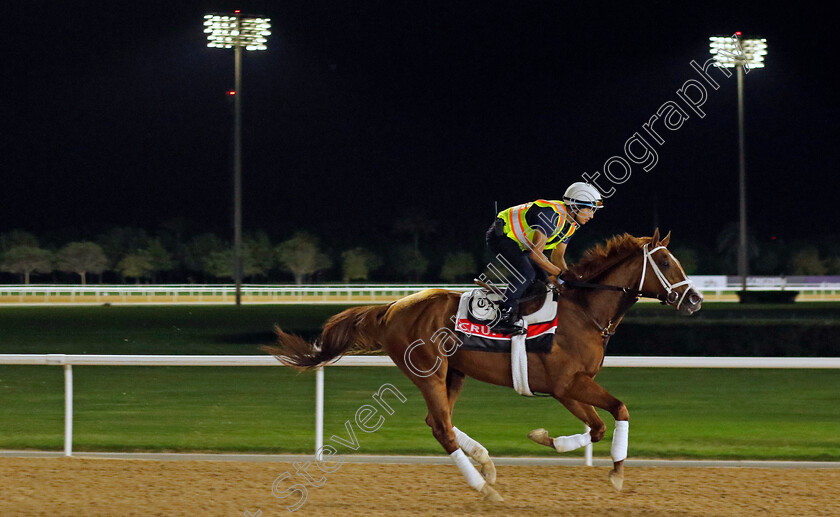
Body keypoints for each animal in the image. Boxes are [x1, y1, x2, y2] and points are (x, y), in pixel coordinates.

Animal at [264, 230, 704, 500]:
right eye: (666, 263)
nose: (695, 300)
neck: (583, 311)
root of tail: (392, 307)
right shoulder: (566, 384)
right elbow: (617, 411)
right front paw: (612, 471)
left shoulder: (566, 388)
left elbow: (597, 426)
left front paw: (551, 441)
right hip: (429, 370)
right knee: (441, 428)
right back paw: (484, 487)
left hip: (455, 372)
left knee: (436, 420)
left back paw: (487, 464)